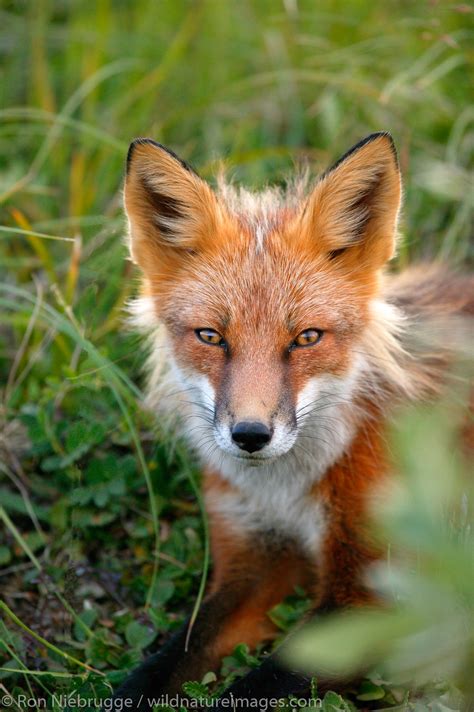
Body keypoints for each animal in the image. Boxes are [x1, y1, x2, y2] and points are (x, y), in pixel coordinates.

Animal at [113, 132, 472, 708]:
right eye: (211, 336)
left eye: (306, 337)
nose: (250, 436)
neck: (286, 492)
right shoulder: (251, 558)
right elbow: (159, 666)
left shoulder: (378, 590)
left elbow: (262, 684)